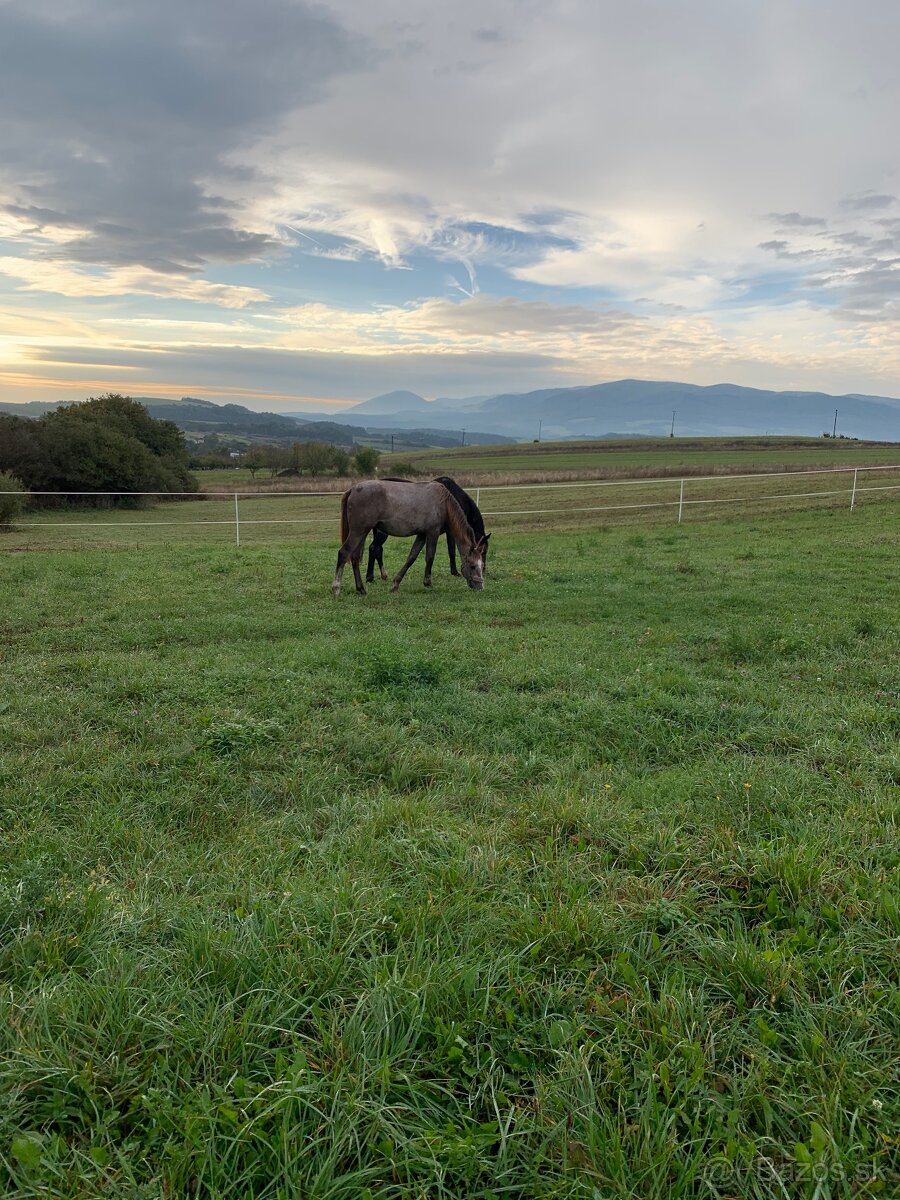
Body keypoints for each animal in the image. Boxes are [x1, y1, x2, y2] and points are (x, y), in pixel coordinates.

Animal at [331, 480, 487, 597]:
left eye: (481, 565)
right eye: (473, 566)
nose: (480, 586)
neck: (442, 503)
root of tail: (353, 489)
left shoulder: (422, 535)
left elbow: (411, 557)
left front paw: (395, 584)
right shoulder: (432, 533)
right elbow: (430, 556)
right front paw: (428, 583)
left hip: (362, 533)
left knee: (355, 557)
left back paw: (361, 589)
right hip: (358, 532)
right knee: (344, 553)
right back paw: (336, 588)